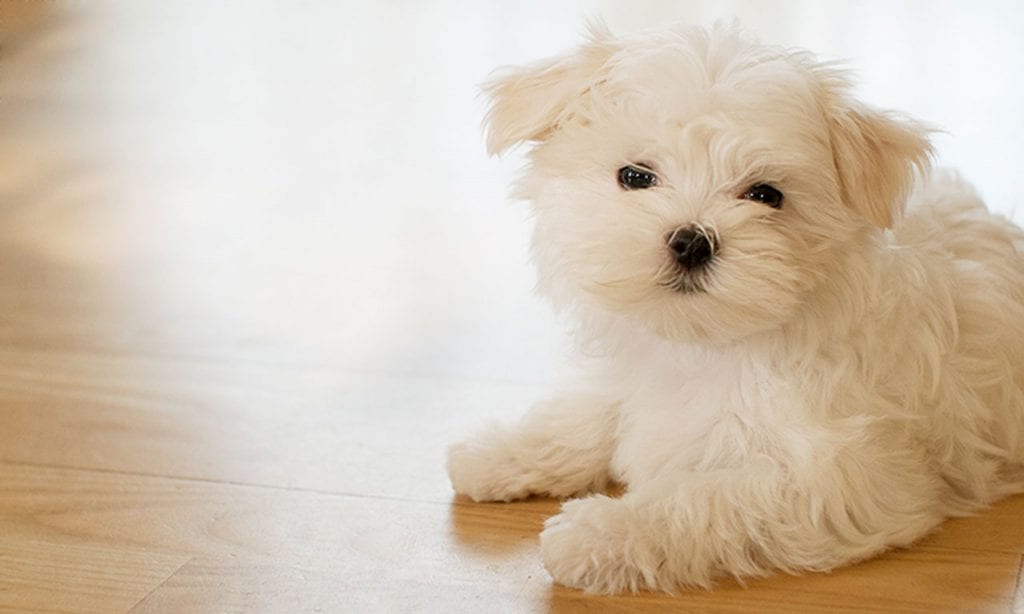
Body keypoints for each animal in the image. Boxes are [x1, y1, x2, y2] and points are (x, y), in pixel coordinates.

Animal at [446, 25, 1024, 593]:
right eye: (634, 176)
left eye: (766, 194)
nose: (691, 241)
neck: (703, 342)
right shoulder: (630, 376)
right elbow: (584, 415)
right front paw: (498, 453)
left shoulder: (842, 477)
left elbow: (703, 499)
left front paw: (598, 532)